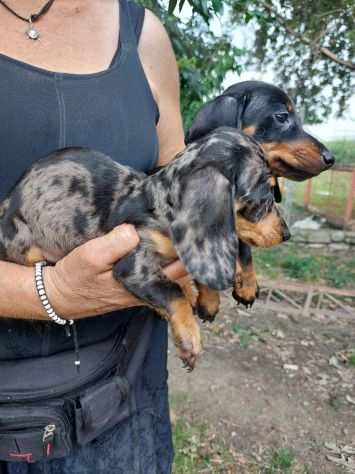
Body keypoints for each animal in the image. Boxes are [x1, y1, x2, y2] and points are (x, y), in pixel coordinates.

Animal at [0, 128, 290, 368]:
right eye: (264, 197)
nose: (286, 233)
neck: (159, 205)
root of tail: (7, 201)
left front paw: (215, 298)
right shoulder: (133, 263)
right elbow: (172, 292)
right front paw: (189, 338)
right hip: (24, 242)